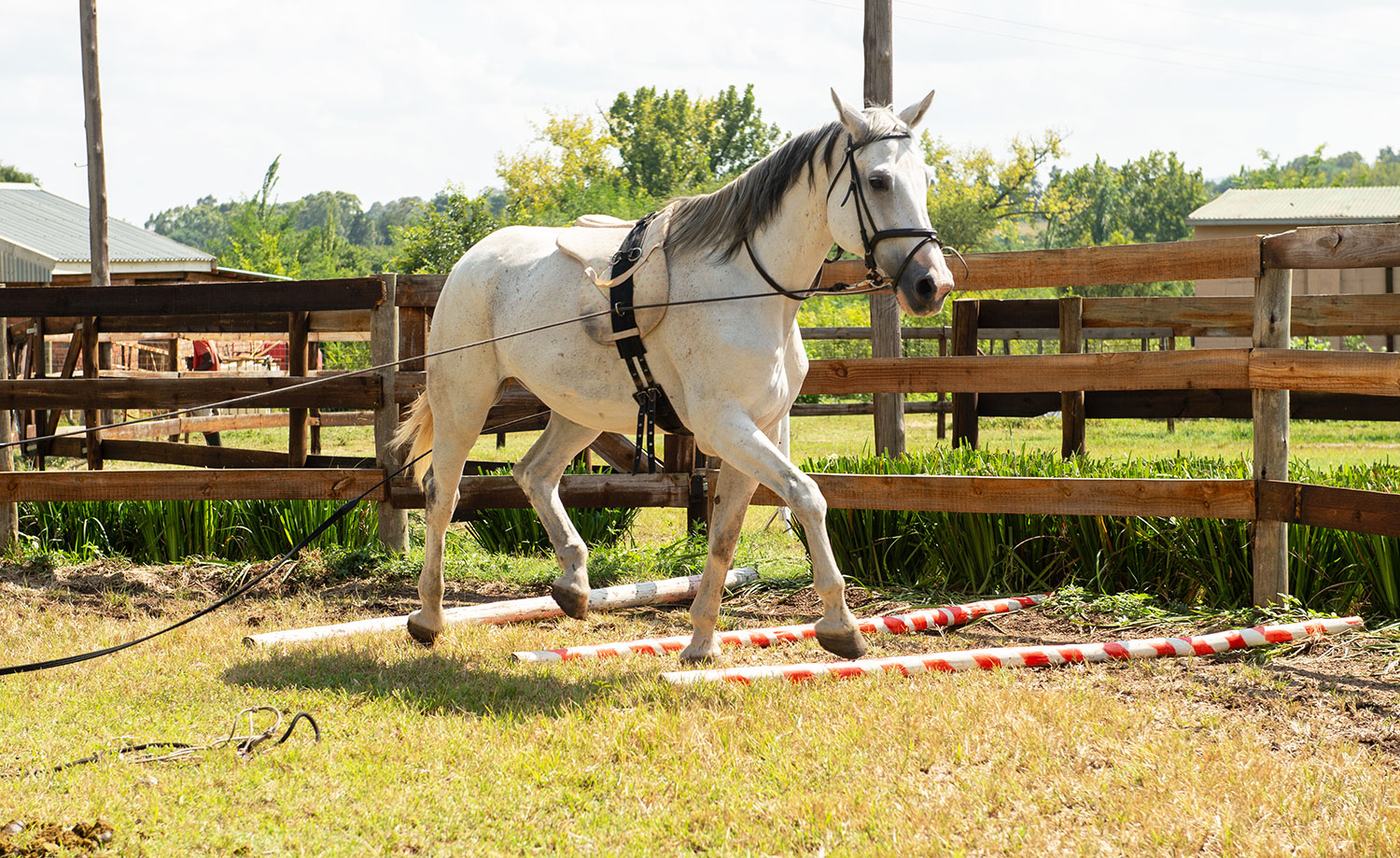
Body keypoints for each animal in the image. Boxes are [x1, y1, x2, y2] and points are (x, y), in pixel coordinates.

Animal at [393, 89, 956, 662]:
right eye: (879, 180)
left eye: (927, 179)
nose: (933, 284)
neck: (747, 288)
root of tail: (471, 261)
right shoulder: (723, 425)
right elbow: (807, 496)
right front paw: (840, 626)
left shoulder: (757, 429)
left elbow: (726, 534)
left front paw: (701, 644)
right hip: (466, 401)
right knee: (443, 493)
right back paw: (429, 617)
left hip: (581, 413)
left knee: (534, 473)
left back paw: (574, 585)